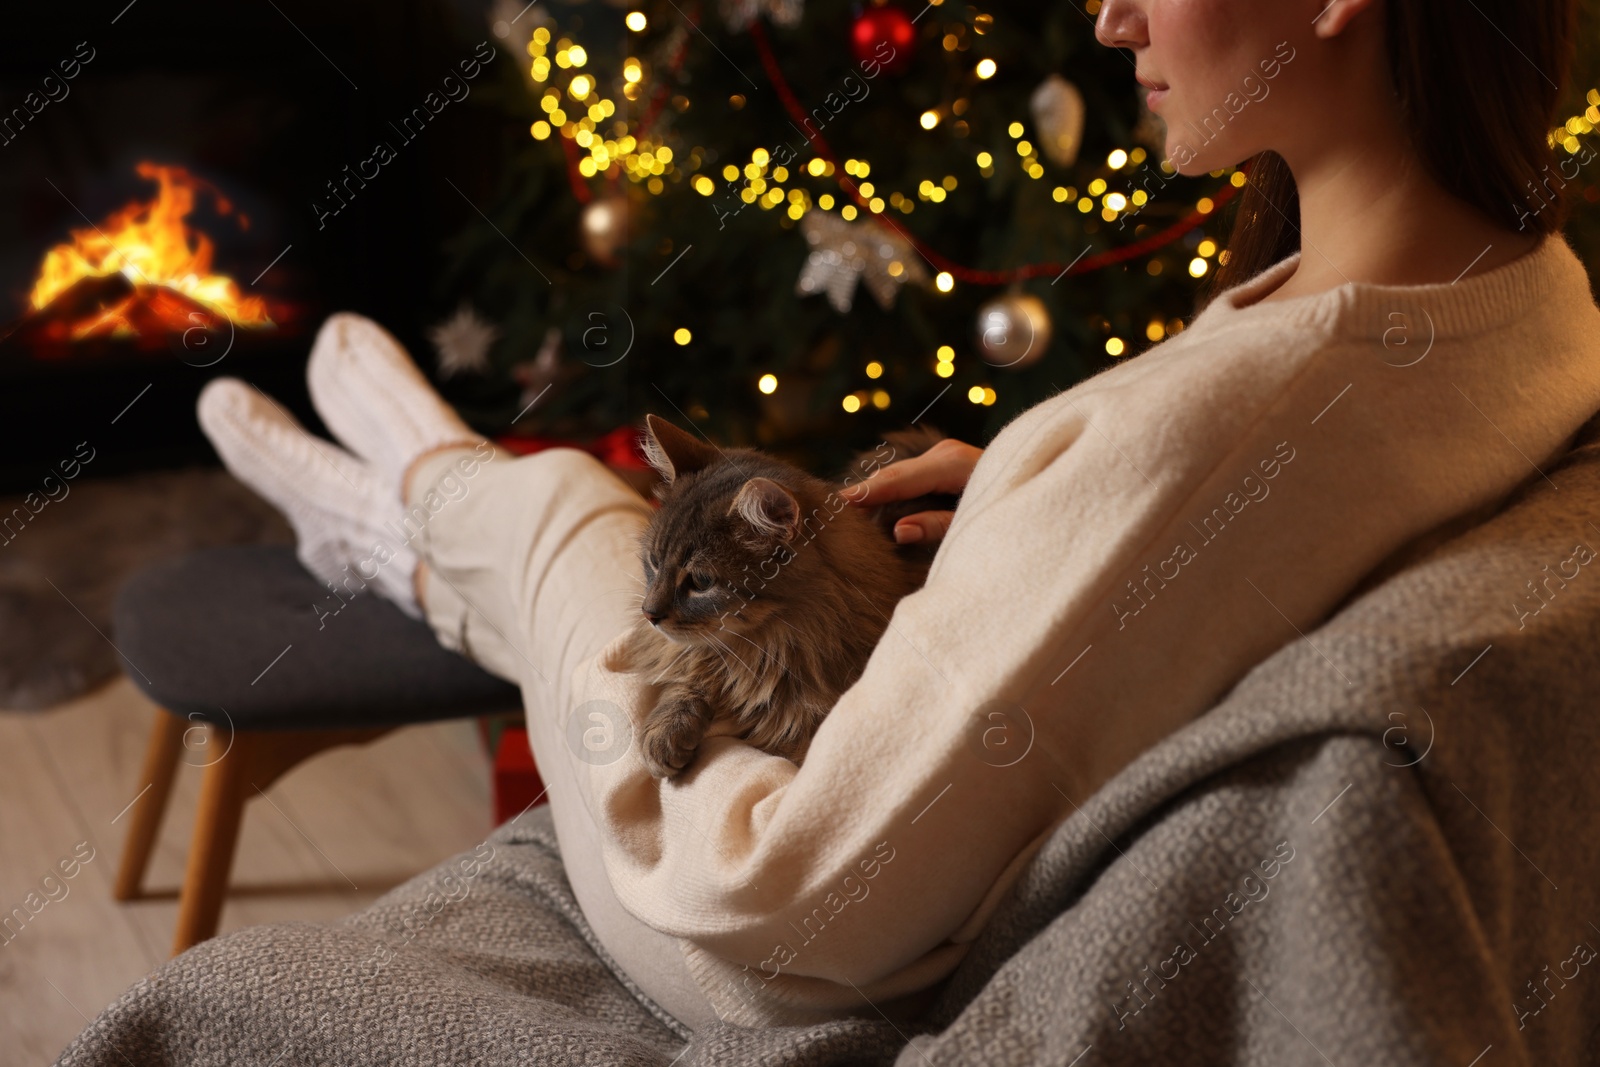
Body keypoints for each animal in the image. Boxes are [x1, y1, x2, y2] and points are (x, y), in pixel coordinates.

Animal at [617, 415, 953, 777]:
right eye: (654, 561)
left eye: (702, 582)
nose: (649, 613)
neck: (771, 646)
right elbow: (689, 676)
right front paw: (666, 732)